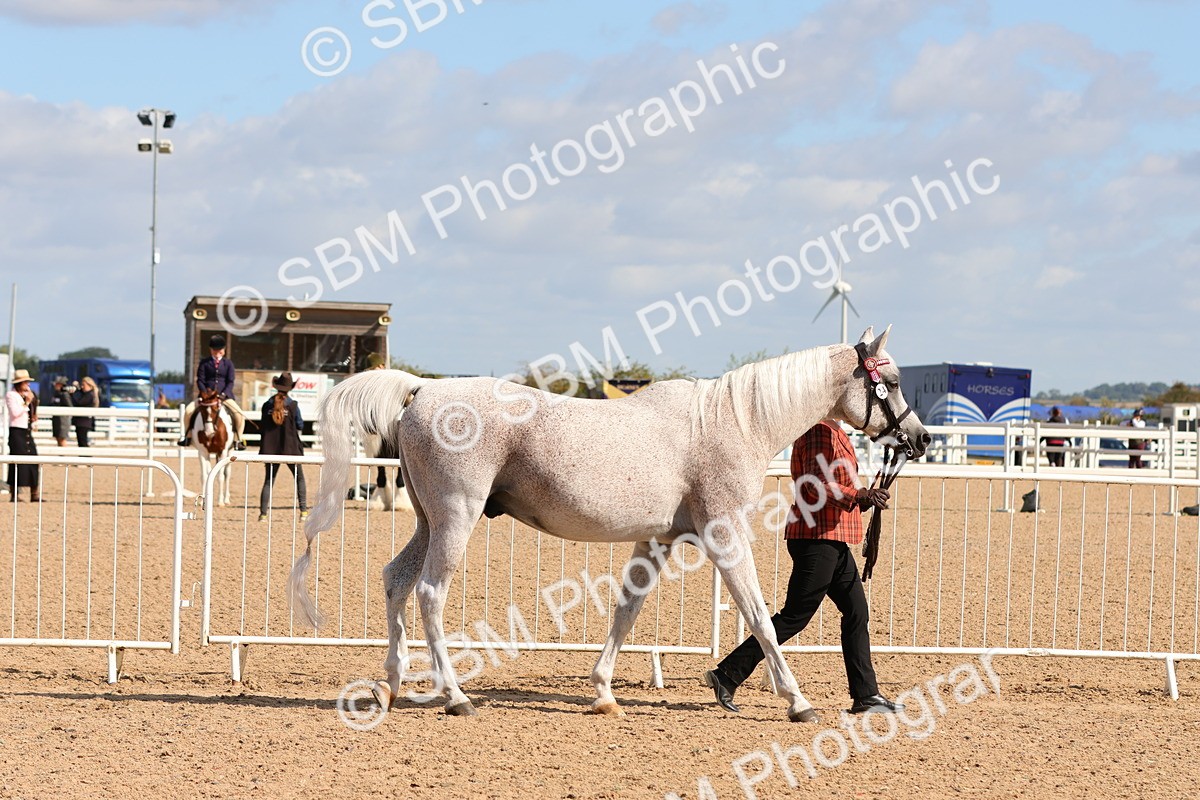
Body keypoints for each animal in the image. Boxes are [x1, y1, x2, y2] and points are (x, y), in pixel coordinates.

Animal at [289, 326, 930, 722]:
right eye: (894, 380)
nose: (919, 438)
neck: (733, 421)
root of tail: (422, 391)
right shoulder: (724, 534)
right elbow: (760, 618)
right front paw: (796, 700)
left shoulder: (658, 540)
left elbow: (627, 610)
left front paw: (602, 693)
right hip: (456, 518)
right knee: (428, 593)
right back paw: (455, 696)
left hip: (427, 519)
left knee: (395, 580)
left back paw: (394, 684)